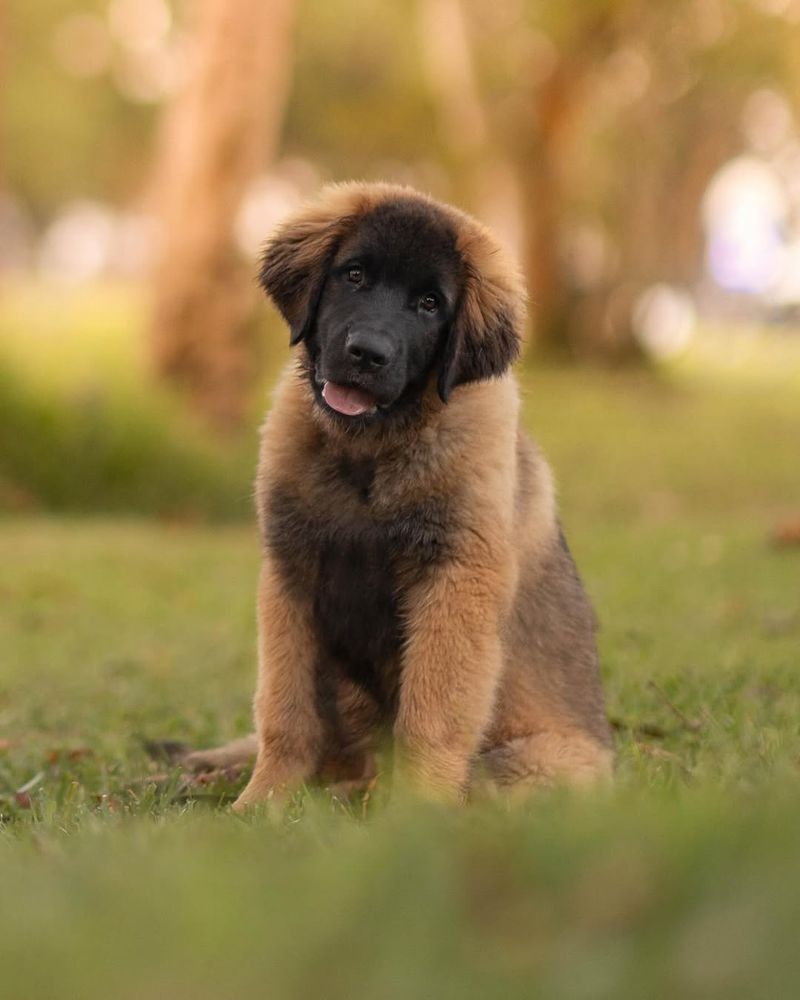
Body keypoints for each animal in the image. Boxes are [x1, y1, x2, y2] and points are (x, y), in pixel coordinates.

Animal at [188, 182, 612, 804]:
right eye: (355, 275)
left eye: (430, 304)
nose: (367, 353)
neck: (370, 452)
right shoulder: (291, 575)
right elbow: (285, 708)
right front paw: (263, 800)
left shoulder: (455, 580)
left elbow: (429, 713)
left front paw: (416, 811)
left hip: (537, 763)